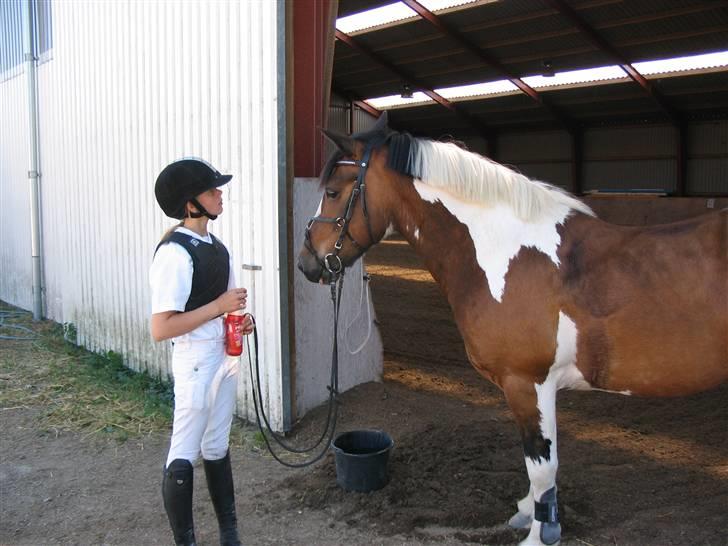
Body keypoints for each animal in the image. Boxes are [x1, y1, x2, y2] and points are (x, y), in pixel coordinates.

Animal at [298, 111, 728, 544]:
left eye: (333, 192)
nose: (307, 263)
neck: (507, 254)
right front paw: (529, 511)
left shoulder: (528, 383)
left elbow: (541, 465)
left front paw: (541, 531)